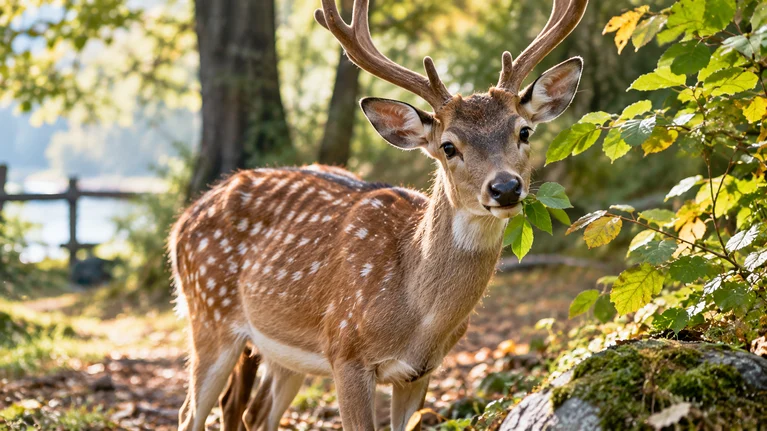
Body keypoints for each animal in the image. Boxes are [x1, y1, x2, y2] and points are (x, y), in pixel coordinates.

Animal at [170, 0, 588, 429]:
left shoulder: (419, 372)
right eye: (449, 146)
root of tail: (184, 219)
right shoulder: (345, 350)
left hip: (282, 352)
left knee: (255, 413)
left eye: (524, 131)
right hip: (208, 315)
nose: (504, 188)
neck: (418, 320)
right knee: (189, 412)